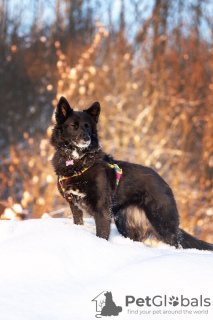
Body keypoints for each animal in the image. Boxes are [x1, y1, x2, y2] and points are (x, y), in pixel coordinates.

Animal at [50, 96, 212, 251]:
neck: (78, 162)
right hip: (127, 225)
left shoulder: (102, 210)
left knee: (176, 244)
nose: (86, 139)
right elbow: (78, 222)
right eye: (74, 126)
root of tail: (166, 184)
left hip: (162, 223)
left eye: (87, 127)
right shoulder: (74, 205)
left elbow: (101, 234)